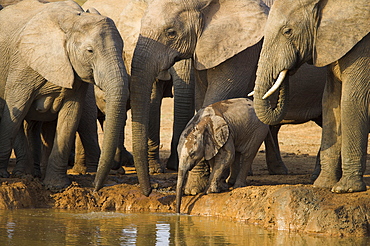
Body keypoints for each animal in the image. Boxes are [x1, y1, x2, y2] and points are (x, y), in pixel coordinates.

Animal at [0, 0, 129, 191]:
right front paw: (5, 175)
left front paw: (56, 186)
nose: (95, 187)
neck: (72, 21)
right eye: (90, 51)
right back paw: (23, 175)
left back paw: (36, 174)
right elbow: (15, 113)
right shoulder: (23, 66)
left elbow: (70, 116)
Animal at [130, 0, 326, 197]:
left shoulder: (242, 50)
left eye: (171, 32)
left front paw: (194, 189)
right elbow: (201, 99)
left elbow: (217, 96)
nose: (150, 190)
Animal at [253, 0, 368, 193]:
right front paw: (323, 185)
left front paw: (345, 189)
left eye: (288, 31)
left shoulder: (363, 46)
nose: (287, 70)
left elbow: (352, 100)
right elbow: (330, 100)